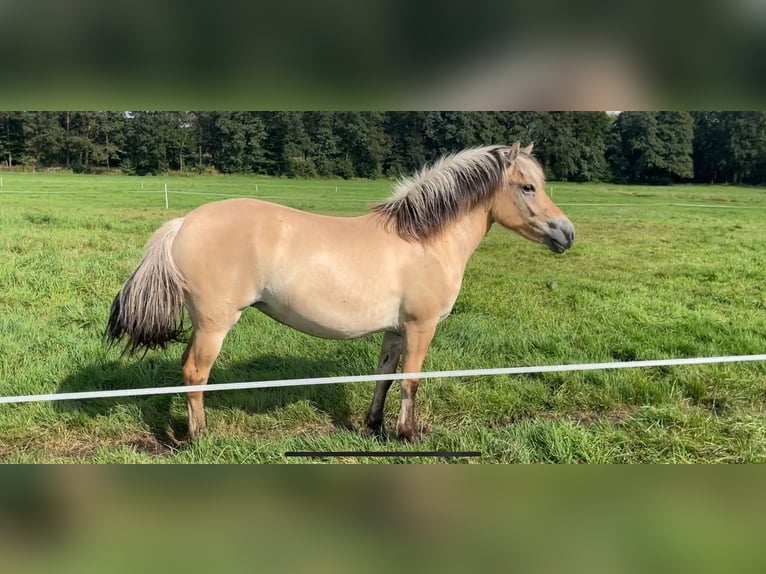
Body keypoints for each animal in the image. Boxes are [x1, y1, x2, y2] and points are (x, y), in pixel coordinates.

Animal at [106, 142, 576, 444]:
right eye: (528, 187)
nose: (567, 233)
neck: (423, 240)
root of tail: (183, 223)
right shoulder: (420, 327)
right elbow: (411, 381)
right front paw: (408, 434)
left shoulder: (395, 330)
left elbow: (384, 377)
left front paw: (376, 427)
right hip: (214, 324)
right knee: (195, 374)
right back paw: (200, 438)